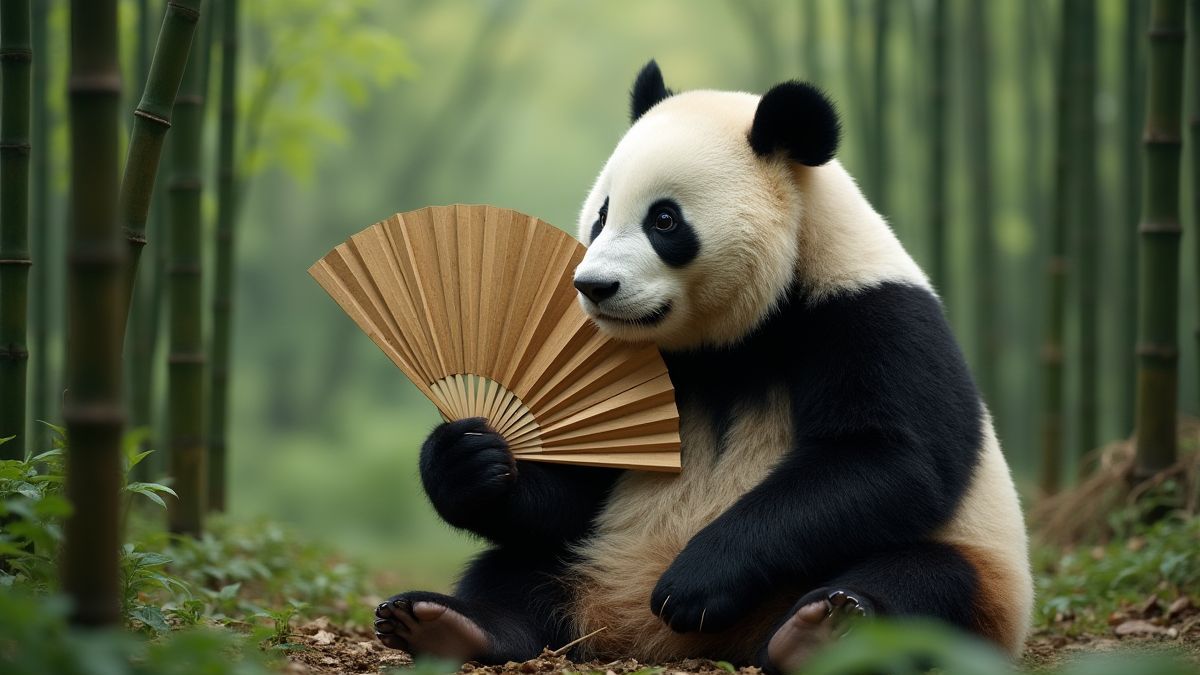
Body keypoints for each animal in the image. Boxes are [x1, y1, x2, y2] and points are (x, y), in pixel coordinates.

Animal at [373, 61, 1033, 673]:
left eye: (664, 220)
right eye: (602, 215)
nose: (594, 286)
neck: (736, 332)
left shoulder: (869, 312)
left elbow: (888, 459)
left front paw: (695, 582)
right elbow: (577, 488)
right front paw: (468, 459)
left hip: (984, 591)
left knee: (928, 581)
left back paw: (821, 633)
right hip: (587, 559)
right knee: (519, 569)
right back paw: (449, 624)